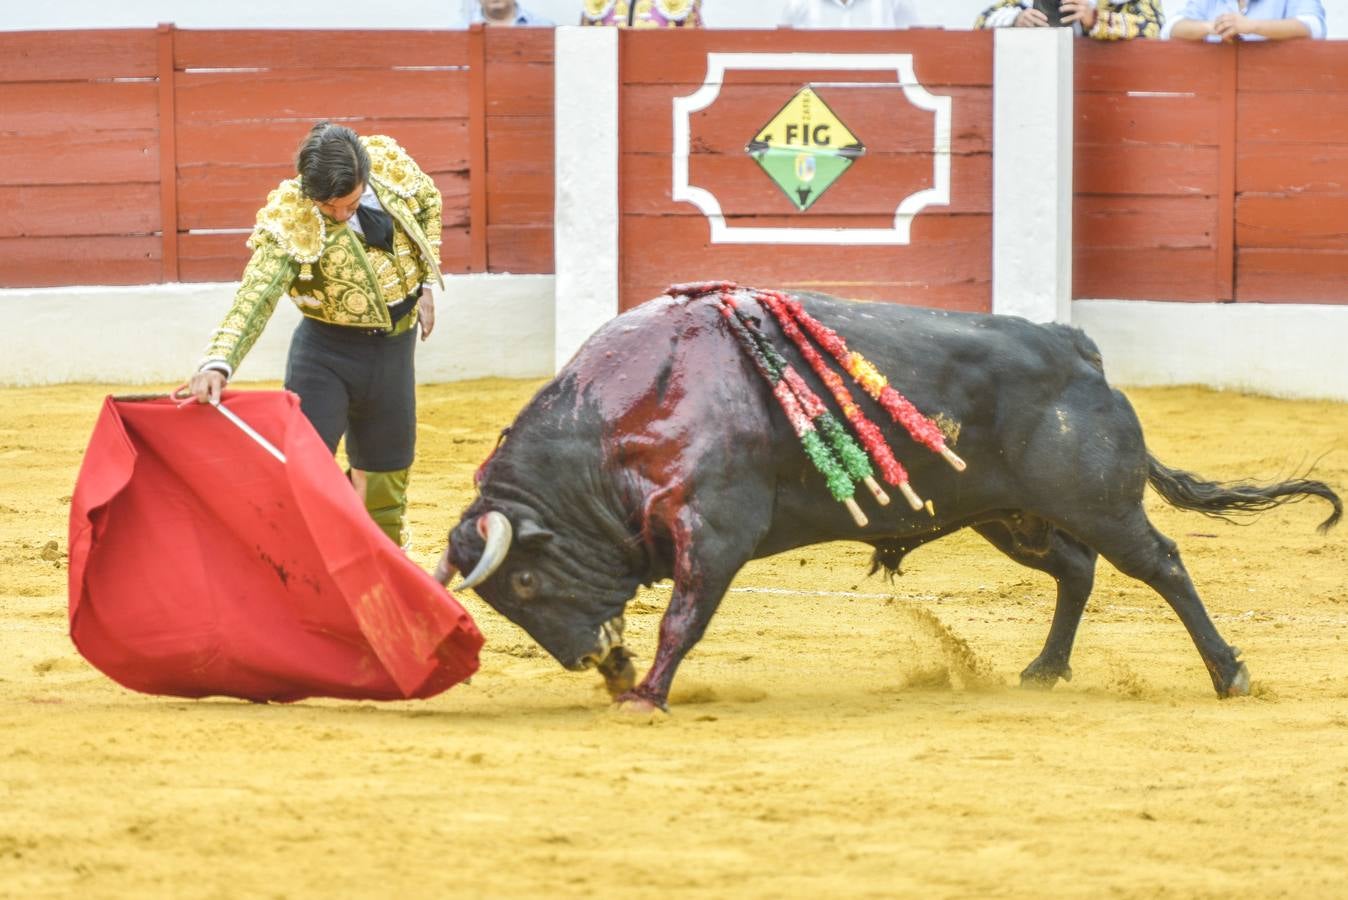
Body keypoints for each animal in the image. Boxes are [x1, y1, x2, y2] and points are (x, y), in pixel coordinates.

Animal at [436, 284, 1342, 711]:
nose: (592, 662)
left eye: (524, 582)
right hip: (1009, 515)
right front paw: (633, 686)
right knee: (1077, 571)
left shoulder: (717, 534)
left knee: (1161, 565)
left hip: (1099, 503)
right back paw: (1043, 670)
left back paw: (1230, 674)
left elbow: (682, 619)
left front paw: (646, 695)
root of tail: (1074, 347)